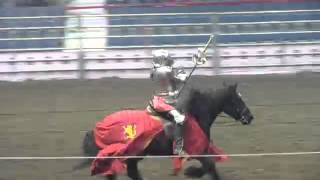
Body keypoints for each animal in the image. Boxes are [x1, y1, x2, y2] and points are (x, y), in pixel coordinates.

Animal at [75, 83, 252, 180]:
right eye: (238, 99)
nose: (249, 116)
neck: (196, 116)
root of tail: (97, 128)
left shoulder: (204, 150)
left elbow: (211, 166)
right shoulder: (198, 152)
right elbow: (210, 166)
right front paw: (191, 172)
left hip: (134, 156)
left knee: (128, 173)